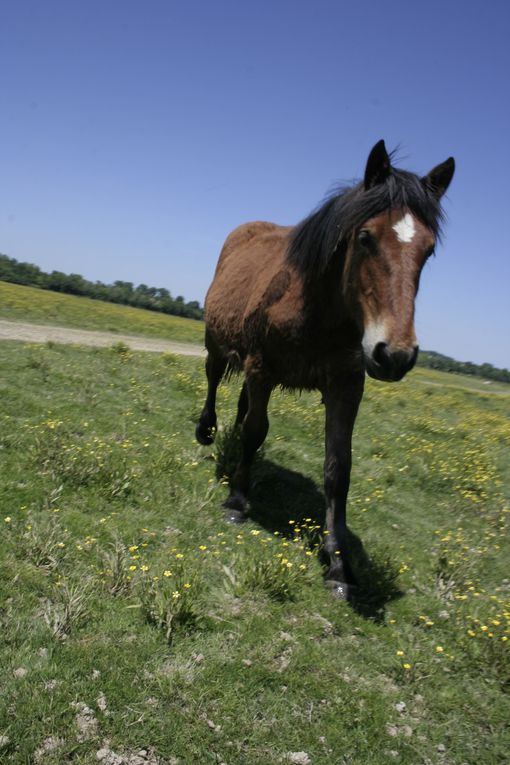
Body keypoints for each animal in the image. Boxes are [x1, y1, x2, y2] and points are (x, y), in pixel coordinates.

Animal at [195, 140, 454, 600]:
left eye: (428, 250)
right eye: (366, 238)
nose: (395, 355)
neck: (315, 307)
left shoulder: (345, 385)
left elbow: (338, 468)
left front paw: (338, 562)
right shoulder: (262, 368)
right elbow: (256, 432)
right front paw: (237, 501)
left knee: (242, 404)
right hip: (218, 343)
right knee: (211, 379)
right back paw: (206, 430)